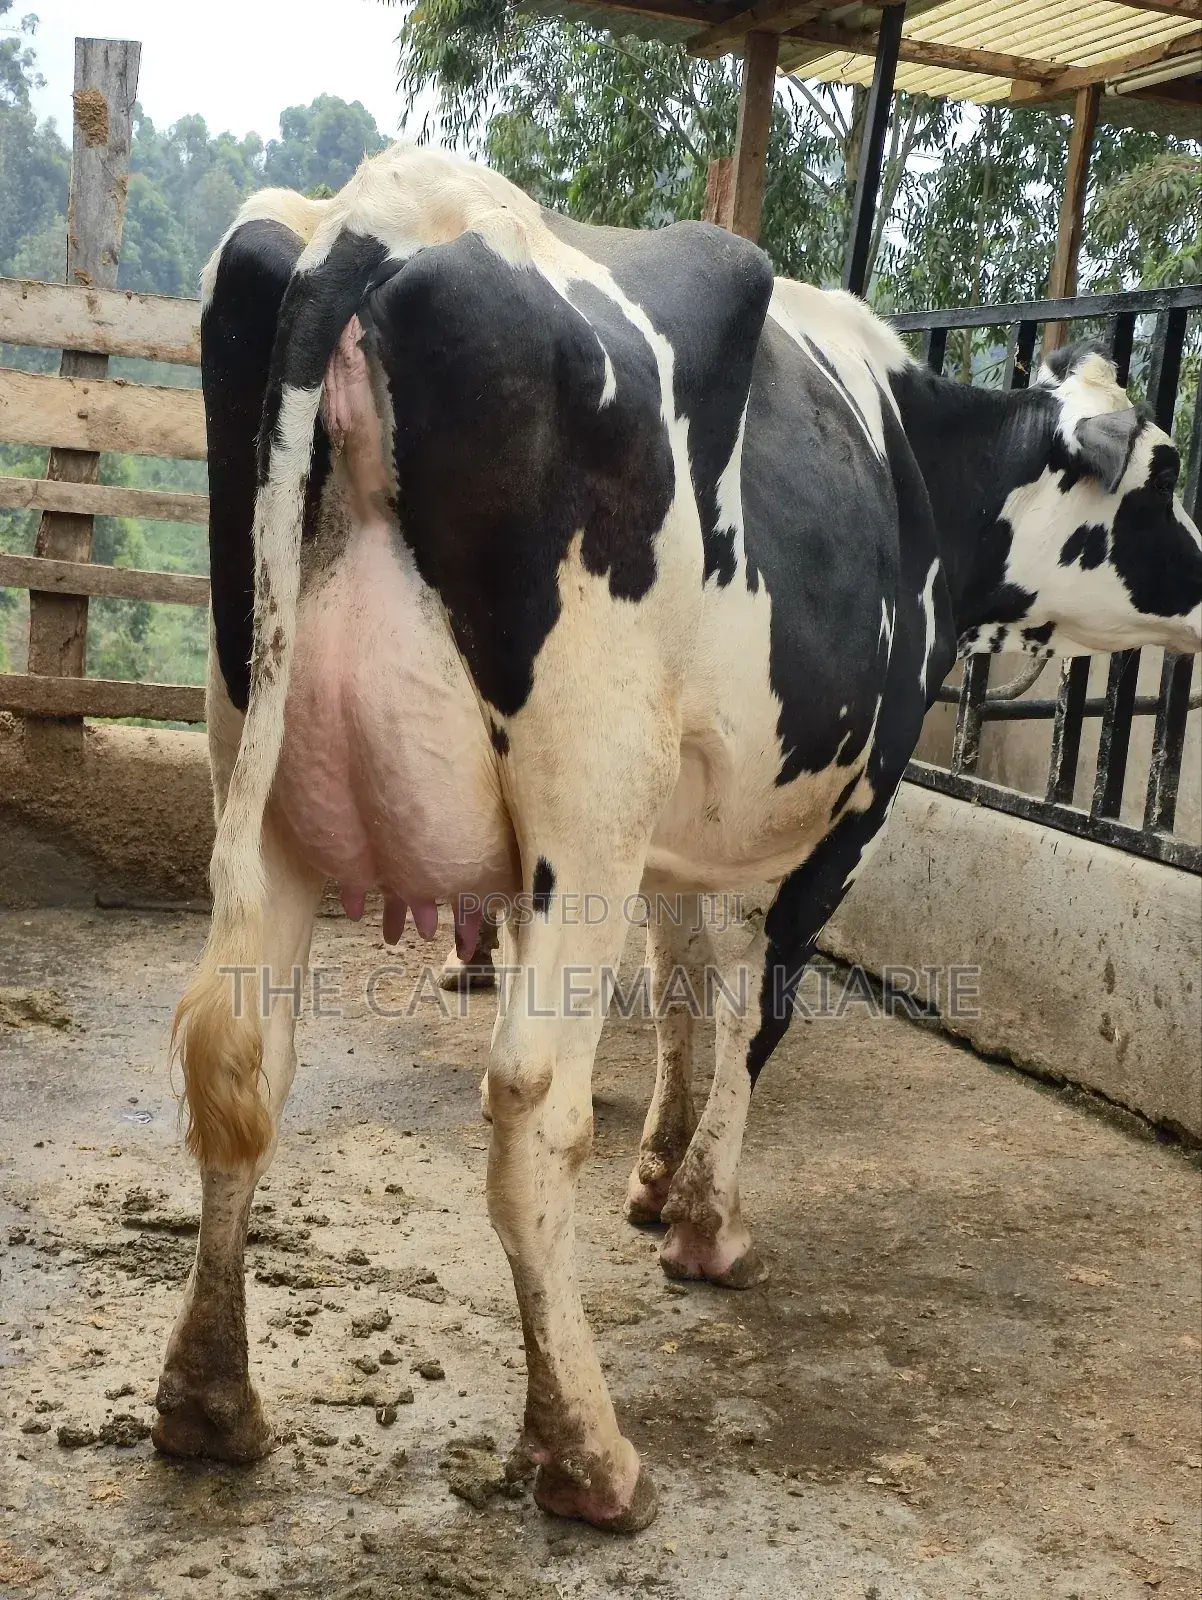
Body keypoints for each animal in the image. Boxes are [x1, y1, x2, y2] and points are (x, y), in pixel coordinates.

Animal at [153, 144, 1202, 1534]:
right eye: (1165, 472)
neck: (922, 465)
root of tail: (379, 217)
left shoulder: (673, 830)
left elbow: (680, 984)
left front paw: (656, 1171)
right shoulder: (852, 802)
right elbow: (759, 1003)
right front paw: (706, 1221)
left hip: (258, 764)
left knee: (238, 1059)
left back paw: (209, 1402)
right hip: (583, 792)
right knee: (529, 1104)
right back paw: (586, 1451)